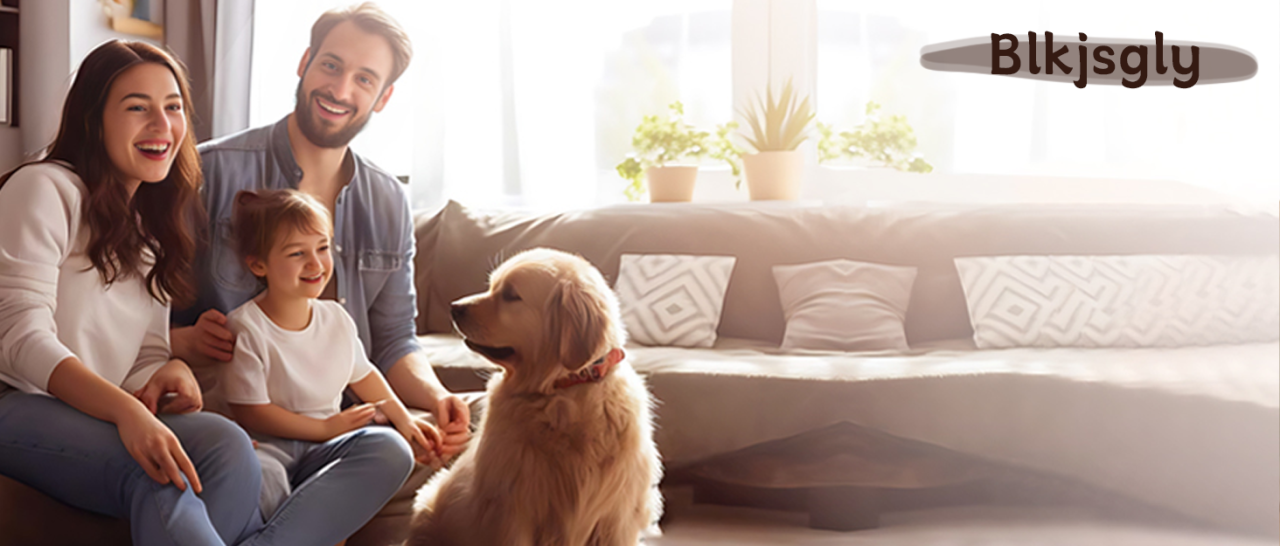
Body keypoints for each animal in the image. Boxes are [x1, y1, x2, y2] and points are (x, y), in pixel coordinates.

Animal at [409, 249, 665, 546]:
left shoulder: (615, 518)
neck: (562, 390)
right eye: (492, 286)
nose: (454, 307)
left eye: (511, 295)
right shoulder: (512, 510)